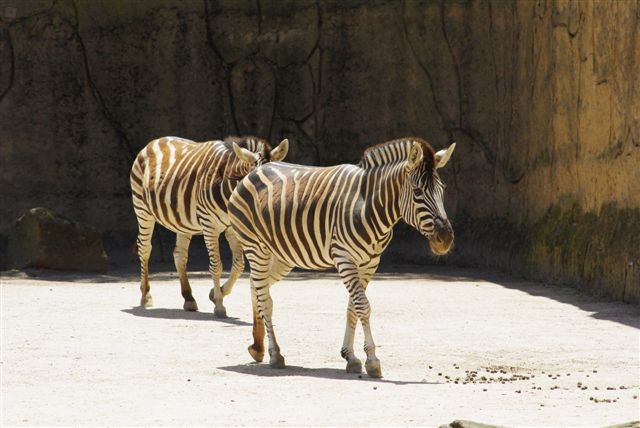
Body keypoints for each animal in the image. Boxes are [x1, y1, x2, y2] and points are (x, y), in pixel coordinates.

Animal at [130, 135, 289, 317]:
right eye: (257, 182)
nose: (270, 209)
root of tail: (155, 141)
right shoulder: (209, 225)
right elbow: (216, 266)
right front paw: (219, 305)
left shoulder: (232, 228)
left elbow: (239, 265)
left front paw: (216, 293)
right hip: (142, 209)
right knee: (144, 248)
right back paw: (146, 296)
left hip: (181, 221)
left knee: (179, 255)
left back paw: (189, 298)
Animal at [228, 137, 455, 377]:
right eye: (417, 191)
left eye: (442, 189)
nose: (445, 238)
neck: (368, 205)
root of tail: (254, 171)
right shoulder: (344, 258)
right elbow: (363, 306)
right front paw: (372, 361)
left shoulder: (369, 263)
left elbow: (352, 308)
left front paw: (351, 357)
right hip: (256, 247)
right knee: (265, 298)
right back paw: (275, 354)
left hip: (281, 256)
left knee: (256, 286)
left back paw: (258, 347)